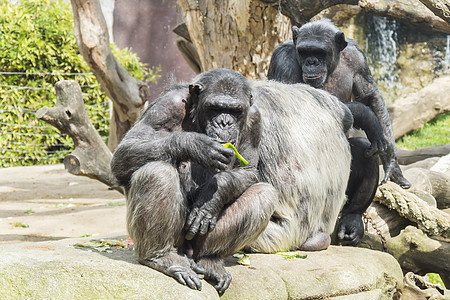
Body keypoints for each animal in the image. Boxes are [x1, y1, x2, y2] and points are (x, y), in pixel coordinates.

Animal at [268, 18, 412, 245]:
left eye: (319, 52)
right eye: (304, 51)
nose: (311, 62)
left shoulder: (358, 57)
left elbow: (370, 95)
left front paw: (391, 161)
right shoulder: (283, 60)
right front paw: (366, 116)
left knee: (363, 149)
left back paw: (352, 219)